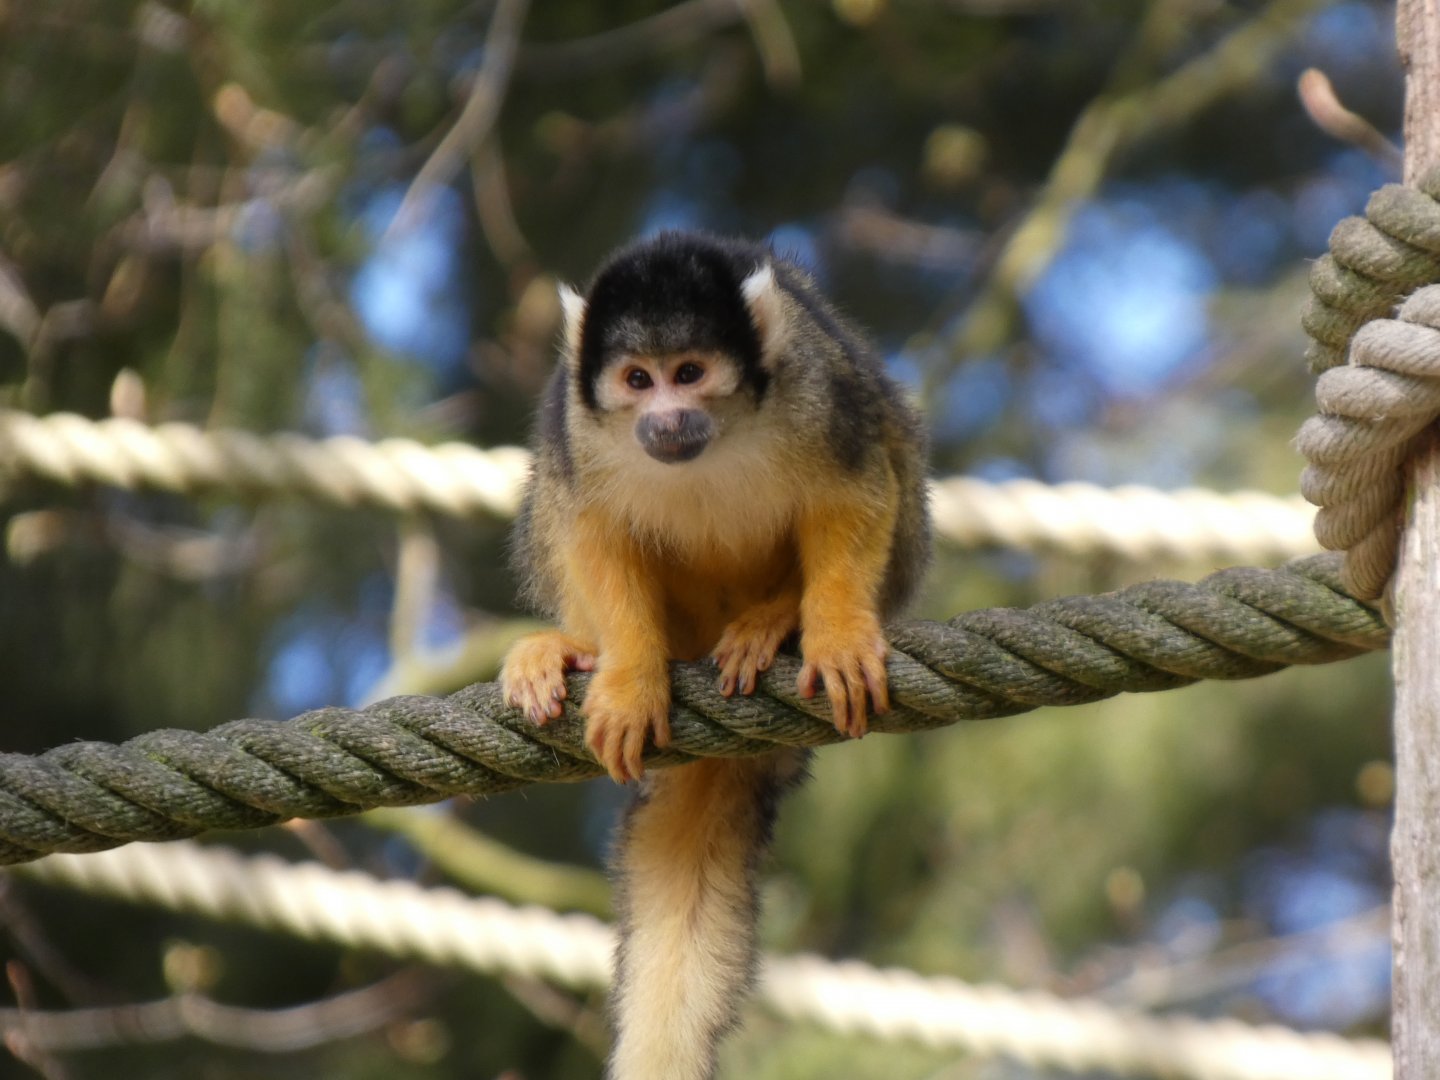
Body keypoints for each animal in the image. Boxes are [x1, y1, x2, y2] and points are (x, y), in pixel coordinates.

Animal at [500, 230, 931, 1080]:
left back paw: (776, 623)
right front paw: (630, 679)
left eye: (690, 373)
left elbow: (855, 486)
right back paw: (572, 650)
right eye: (639, 379)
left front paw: (832, 633)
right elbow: (590, 524)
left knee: (891, 445)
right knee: (555, 506)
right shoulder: (579, 424)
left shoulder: (813, 384)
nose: (668, 416)